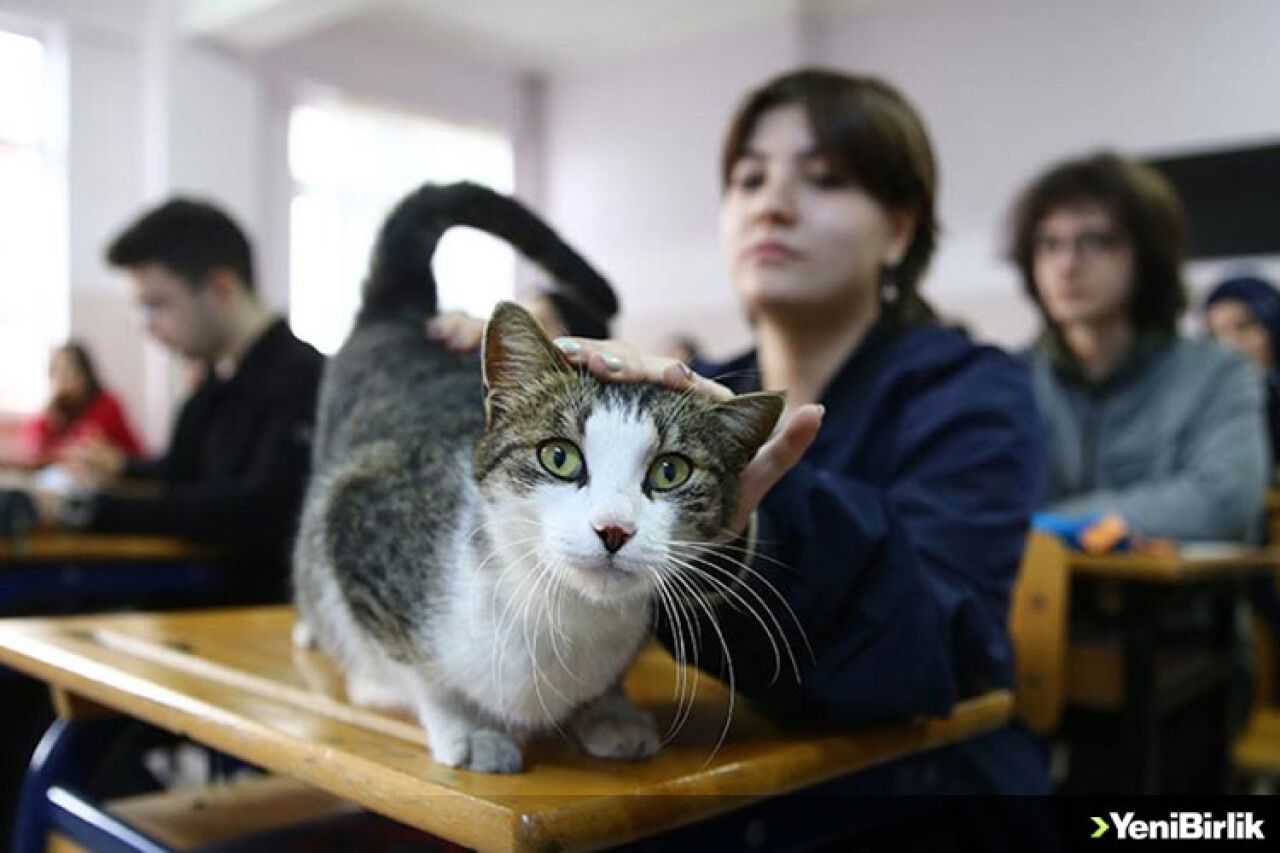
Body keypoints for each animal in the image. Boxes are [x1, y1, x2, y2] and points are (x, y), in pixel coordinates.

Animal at [294, 180, 783, 768]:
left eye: (670, 471)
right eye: (560, 457)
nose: (614, 529)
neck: (562, 616)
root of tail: (401, 313)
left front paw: (609, 711)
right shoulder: (358, 509)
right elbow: (423, 673)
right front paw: (465, 724)